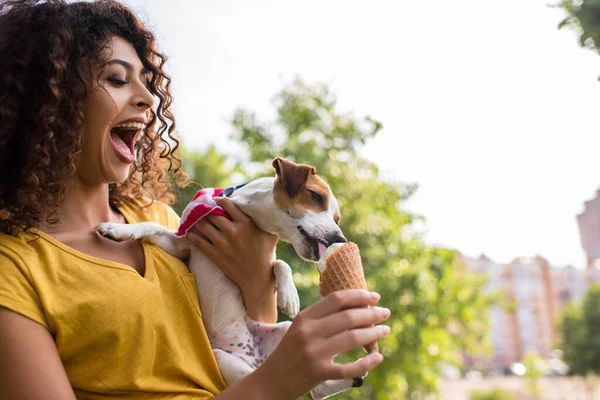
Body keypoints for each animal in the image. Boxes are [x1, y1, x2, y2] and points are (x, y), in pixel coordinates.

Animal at [96, 158, 364, 400]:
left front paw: (288, 296)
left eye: (337, 219)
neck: (248, 212)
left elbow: (281, 263)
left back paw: (352, 375)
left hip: (282, 333)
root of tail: (255, 357)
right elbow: (150, 226)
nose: (340, 238)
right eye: (316, 197)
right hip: (224, 356)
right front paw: (118, 230)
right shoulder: (182, 246)